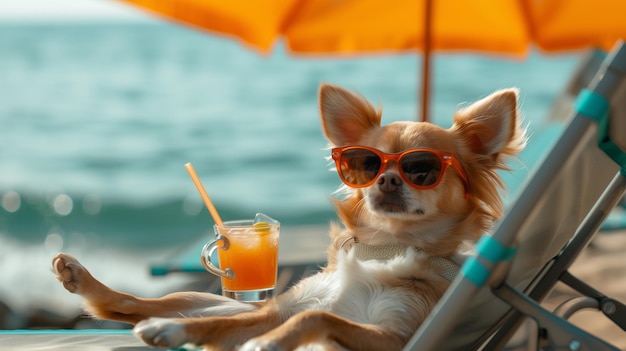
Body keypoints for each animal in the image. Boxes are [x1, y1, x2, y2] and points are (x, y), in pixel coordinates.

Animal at [52, 84, 520, 350]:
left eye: (421, 168)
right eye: (368, 163)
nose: (386, 179)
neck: (384, 248)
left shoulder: (395, 337)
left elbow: (317, 317)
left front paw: (268, 344)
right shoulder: (275, 311)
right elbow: (277, 317)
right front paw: (174, 332)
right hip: (223, 302)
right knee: (140, 304)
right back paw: (91, 284)